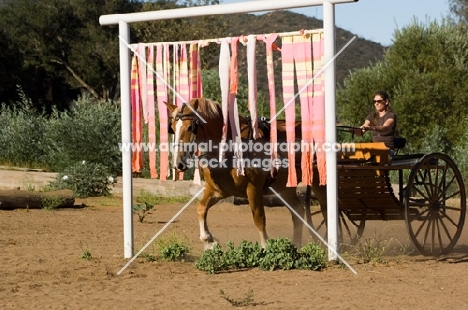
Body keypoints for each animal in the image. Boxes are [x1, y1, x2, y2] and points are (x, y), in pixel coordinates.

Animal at [165, 98, 308, 248]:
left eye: (190, 127)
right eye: (173, 128)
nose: (178, 163)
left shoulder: (254, 189)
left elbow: (259, 219)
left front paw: (265, 247)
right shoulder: (218, 190)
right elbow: (201, 208)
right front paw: (209, 240)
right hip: (286, 189)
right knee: (298, 212)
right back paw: (296, 245)